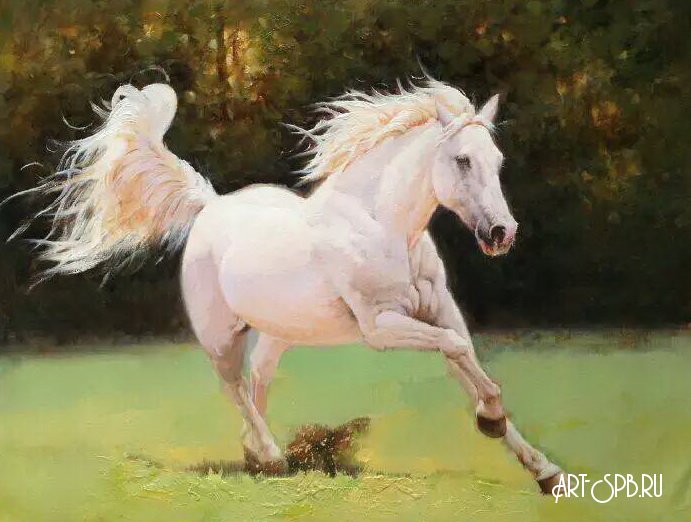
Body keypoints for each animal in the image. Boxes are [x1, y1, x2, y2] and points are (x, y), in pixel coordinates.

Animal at [18, 78, 563, 494]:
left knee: (257, 379)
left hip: (278, 330)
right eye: (463, 160)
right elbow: (460, 352)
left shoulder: (440, 311)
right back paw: (272, 456)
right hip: (220, 335)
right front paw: (490, 419)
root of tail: (211, 206)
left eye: (496, 160)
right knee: (234, 385)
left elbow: (464, 357)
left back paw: (256, 456)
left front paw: (542, 468)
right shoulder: (381, 327)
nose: (502, 233)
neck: (382, 227)